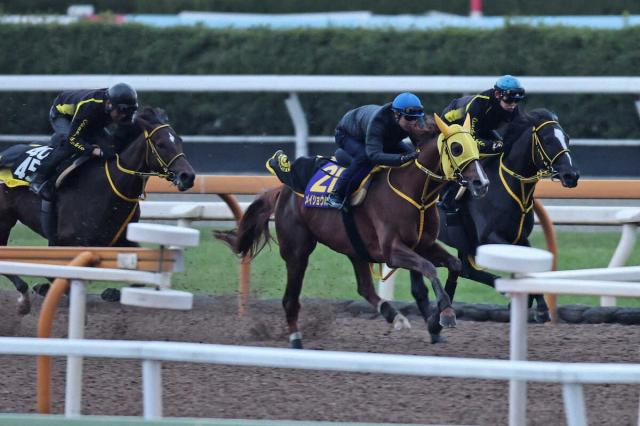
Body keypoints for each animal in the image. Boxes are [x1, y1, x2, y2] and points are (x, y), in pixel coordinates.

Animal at [0, 107, 196, 314]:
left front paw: (112, 292)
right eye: (161, 144)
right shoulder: (70, 241)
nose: (188, 176)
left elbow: (140, 276)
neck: (107, 187)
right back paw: (24, 296)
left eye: (179, 141)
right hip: (4, 220)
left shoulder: (120, 240)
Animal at [215, 114, 490, 348]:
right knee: (290, 299)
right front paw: (444, 315)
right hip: (297, 251)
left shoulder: (423, 244)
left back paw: (394, 316)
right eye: (457, 148)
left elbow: (453, 265)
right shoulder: (392, 251)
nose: (482, 183)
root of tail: (282, 190)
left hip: (353, 245)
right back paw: (296, 339)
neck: (415, 192)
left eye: (476, 146)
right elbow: (429, 268)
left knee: (364, 288)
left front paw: (437, 319)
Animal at [436, 108, 580, 323]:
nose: (572, 175)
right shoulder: (488, 238)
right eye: (547, 140)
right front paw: (532, 304)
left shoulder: (519, 237)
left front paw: (535, 303)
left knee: (465, 270)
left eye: (567, 138)